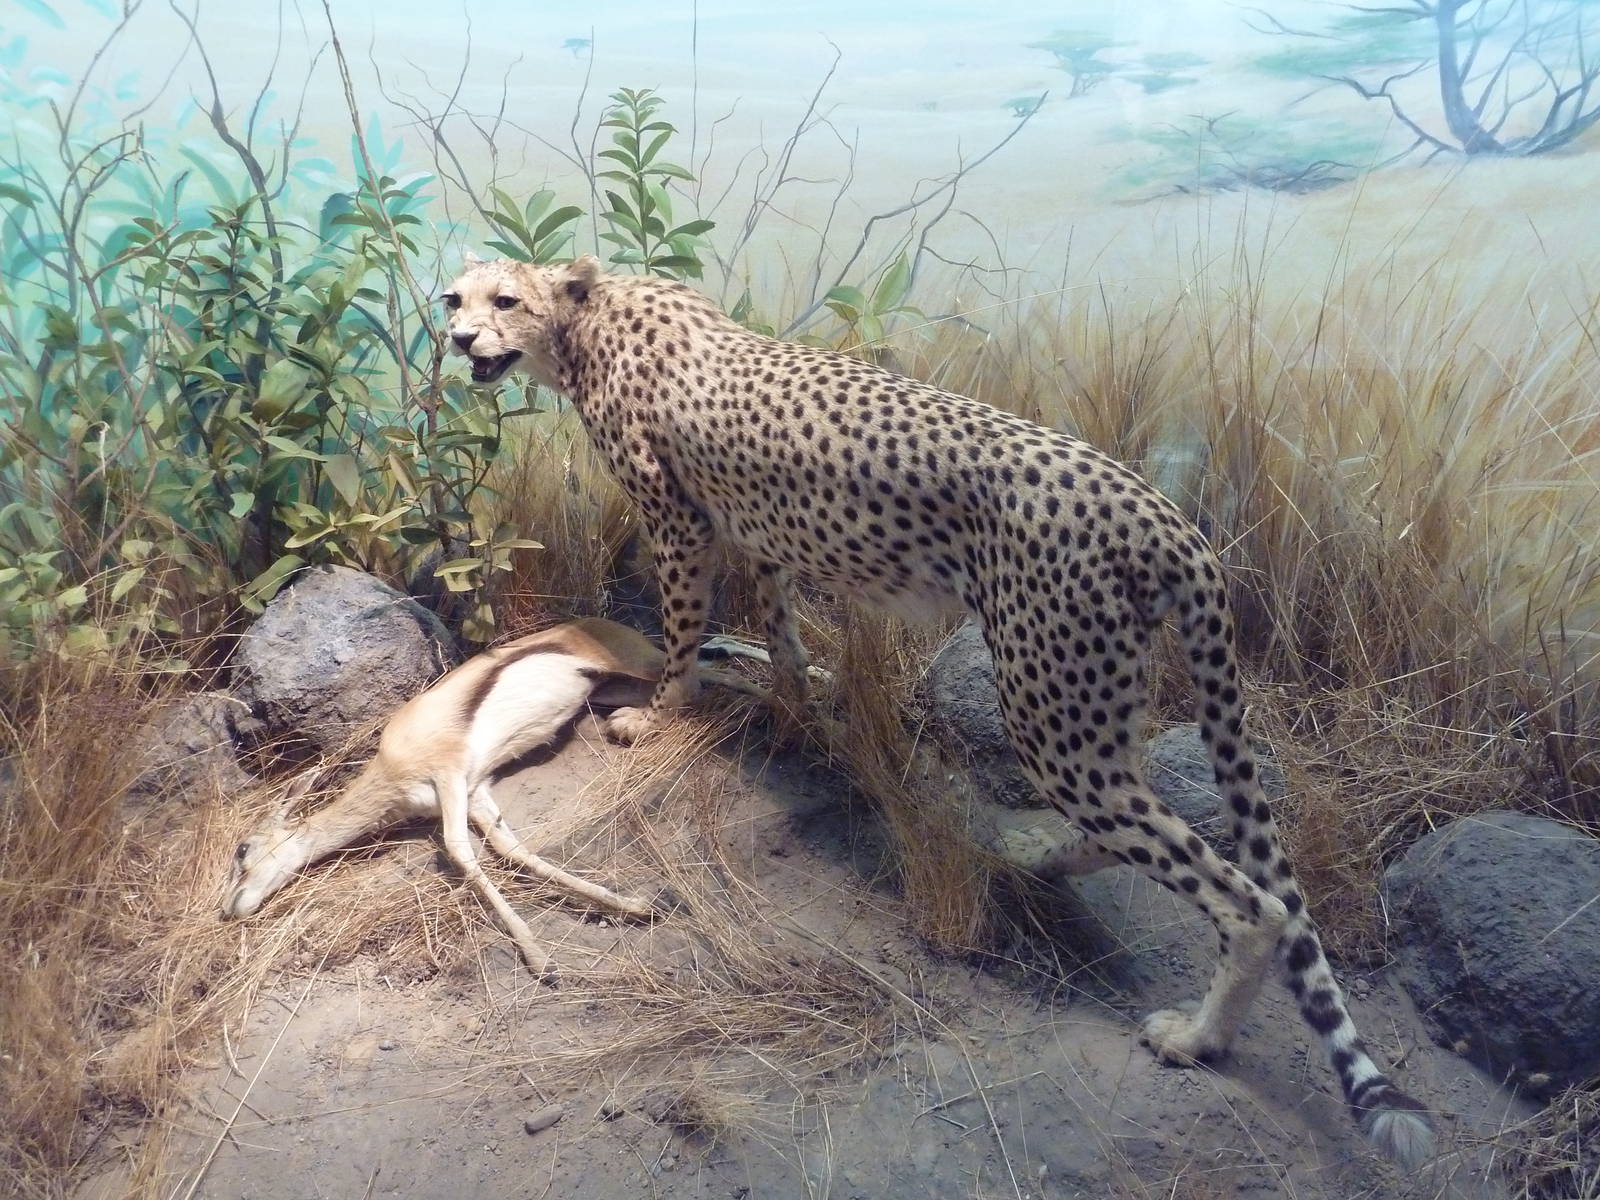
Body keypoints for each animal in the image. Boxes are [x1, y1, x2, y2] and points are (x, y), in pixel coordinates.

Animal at [439, 252, 1435, 1165]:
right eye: (454, 297)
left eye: (506, 301)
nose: (457, 339)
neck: (586, 321)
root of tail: (1161, 511)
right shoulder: (756, 530)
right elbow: (780, 621)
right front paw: (800, 692)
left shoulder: (681, 524)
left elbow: (685, 628)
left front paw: (660, 709)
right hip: (1092, 700)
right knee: (1133, 817)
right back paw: (1039, 855)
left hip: (1048, 703)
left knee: (1247, 899)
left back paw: (1198, 1036)